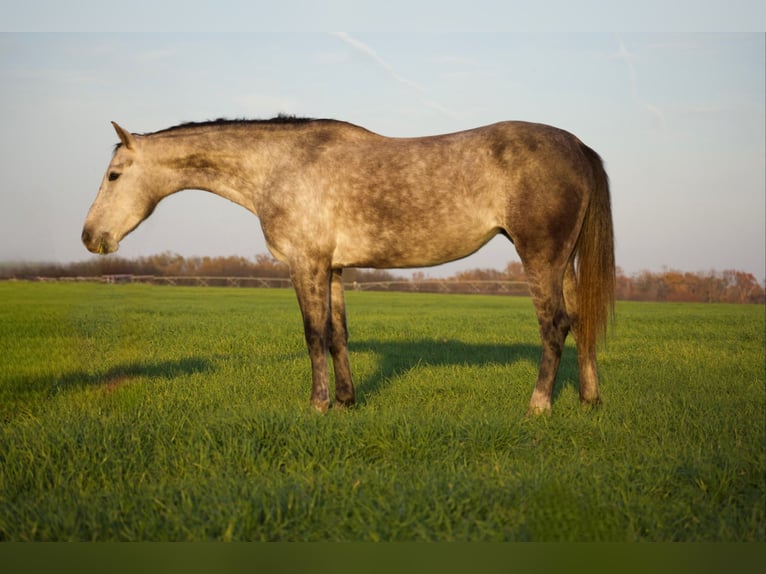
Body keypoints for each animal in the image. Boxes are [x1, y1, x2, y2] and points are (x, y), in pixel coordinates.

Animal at [82, 117, 615, 414]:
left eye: (114, 175)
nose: (90, 237)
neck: (280, 165)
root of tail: (578, 146)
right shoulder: (334, 268)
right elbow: (337, 334)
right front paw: (345, 401)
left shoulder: (305, 263)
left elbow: (313, 333)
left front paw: (317, 405)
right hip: (564, 260)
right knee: (580, 320)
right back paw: (589, 400)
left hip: (540, 255)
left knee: (554, 324)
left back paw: (539, 406)